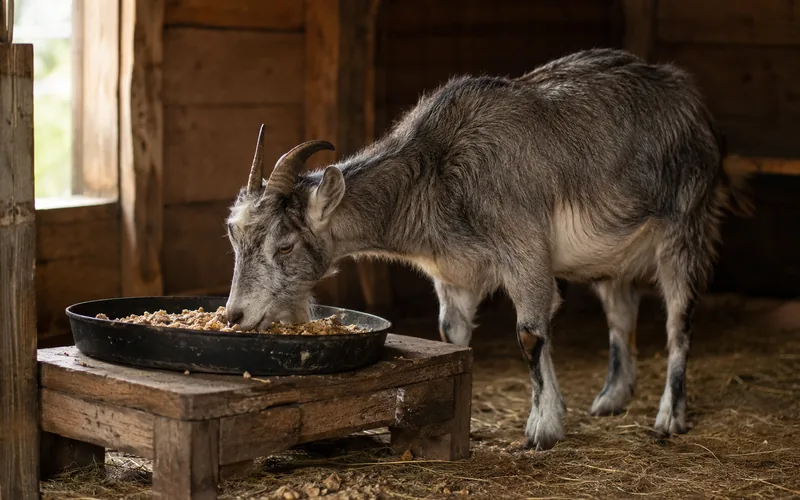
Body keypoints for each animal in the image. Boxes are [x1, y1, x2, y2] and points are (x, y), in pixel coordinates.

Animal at [224, 48, 752, 450]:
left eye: (285, 245)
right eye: (234, 237)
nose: (234, 315)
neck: (438, 171)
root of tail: (696, 108)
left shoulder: (525, 253)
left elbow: (531, 334)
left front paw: (542, 429)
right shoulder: (453, 274)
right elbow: (452, 337)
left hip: (685, 228)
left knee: (678, 322)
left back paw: (668, 418)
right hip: (612, 258)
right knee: (621, 315)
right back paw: (610, 399)